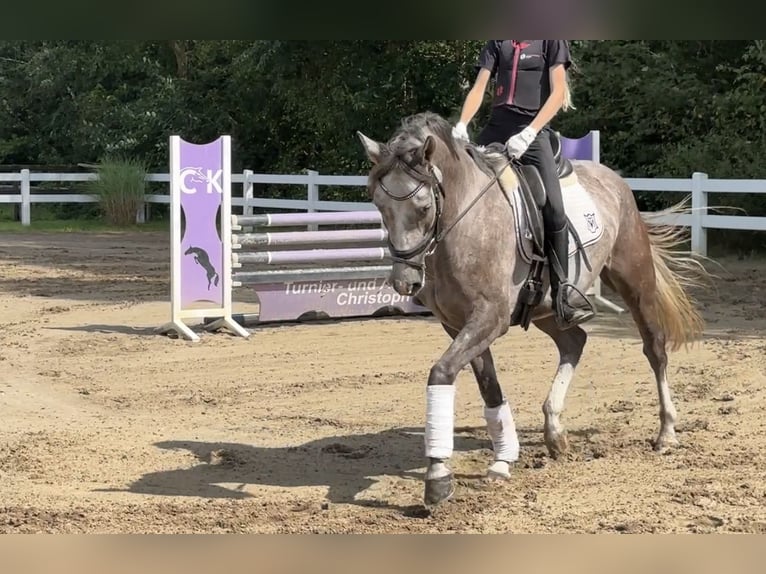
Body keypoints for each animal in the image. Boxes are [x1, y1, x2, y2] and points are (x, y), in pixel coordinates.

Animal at [356, 111, 712, 508]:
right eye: (379, 205)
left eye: (422, 207)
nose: (405, 282)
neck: (464, 221)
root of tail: (611, 177)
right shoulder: (458, 323)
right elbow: (489, 387)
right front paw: (503, 458)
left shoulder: (490, 317)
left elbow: (441, 373)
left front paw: (438, 476)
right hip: (546, 308)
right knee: (574, 341)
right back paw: (554, 430)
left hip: (634, 278)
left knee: (654, 348)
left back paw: (666, 432)